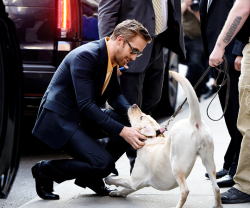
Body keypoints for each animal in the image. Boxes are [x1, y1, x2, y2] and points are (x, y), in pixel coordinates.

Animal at [104, 71, 222, 208]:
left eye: (141, 117)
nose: (134, 105)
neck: (151, 139)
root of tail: (194, 121)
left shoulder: (133, 180)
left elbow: (120, 180)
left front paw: (108, 179)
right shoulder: (138, 184)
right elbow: (126, 189)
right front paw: (117, 193)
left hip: (177, 165)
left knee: (185, 191)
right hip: (208, 160)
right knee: (216, 187)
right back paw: (218, 205)